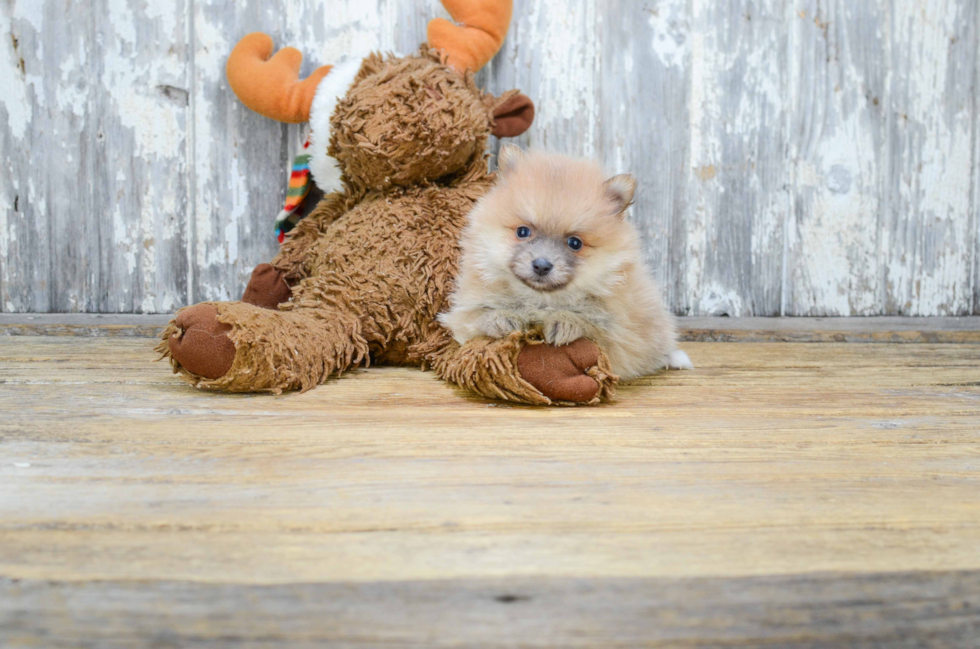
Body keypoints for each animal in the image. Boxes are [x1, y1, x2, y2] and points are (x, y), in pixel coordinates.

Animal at [440, 147, 692, 380]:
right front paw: (501, 319)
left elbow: (594, 329)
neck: (541, 301)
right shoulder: (463, 312)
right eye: (523, 231)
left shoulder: (620, 335)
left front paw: (566, 322)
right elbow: (475, 319)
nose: (542, 265)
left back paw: (674, 358)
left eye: (574, 243)